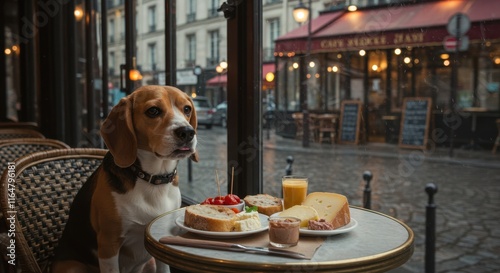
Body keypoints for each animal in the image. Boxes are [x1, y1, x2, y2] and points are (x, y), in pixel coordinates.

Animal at [51, 85, 197, 272]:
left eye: (187, 109)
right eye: (153, 111)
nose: (187, 132)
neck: (151, 178)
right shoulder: (108, 245)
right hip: (73, 267)